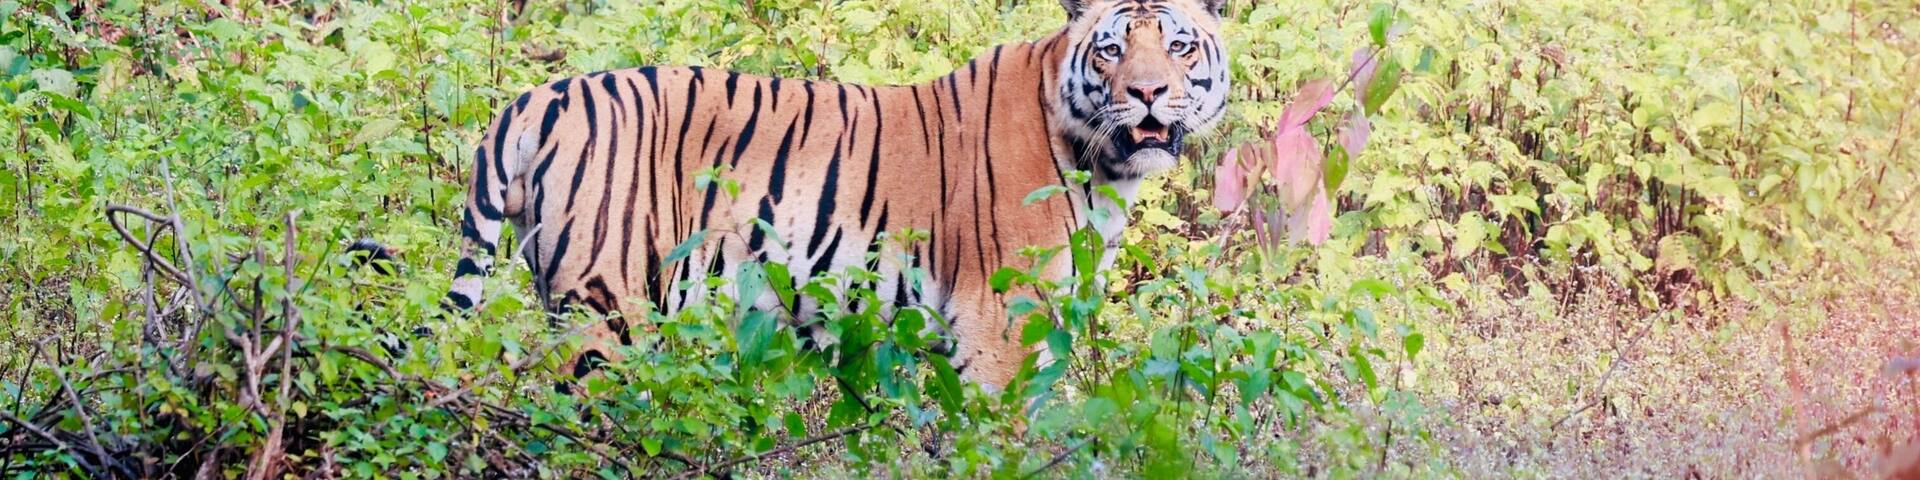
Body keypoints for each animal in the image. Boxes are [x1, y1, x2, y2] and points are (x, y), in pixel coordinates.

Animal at [440, 0, 1230, 391]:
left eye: (1179, 46)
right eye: (1113, 48)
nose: (1148, 93)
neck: (1106, 166)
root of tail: (534, 97)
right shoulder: (1000, 317)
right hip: (606, 312)